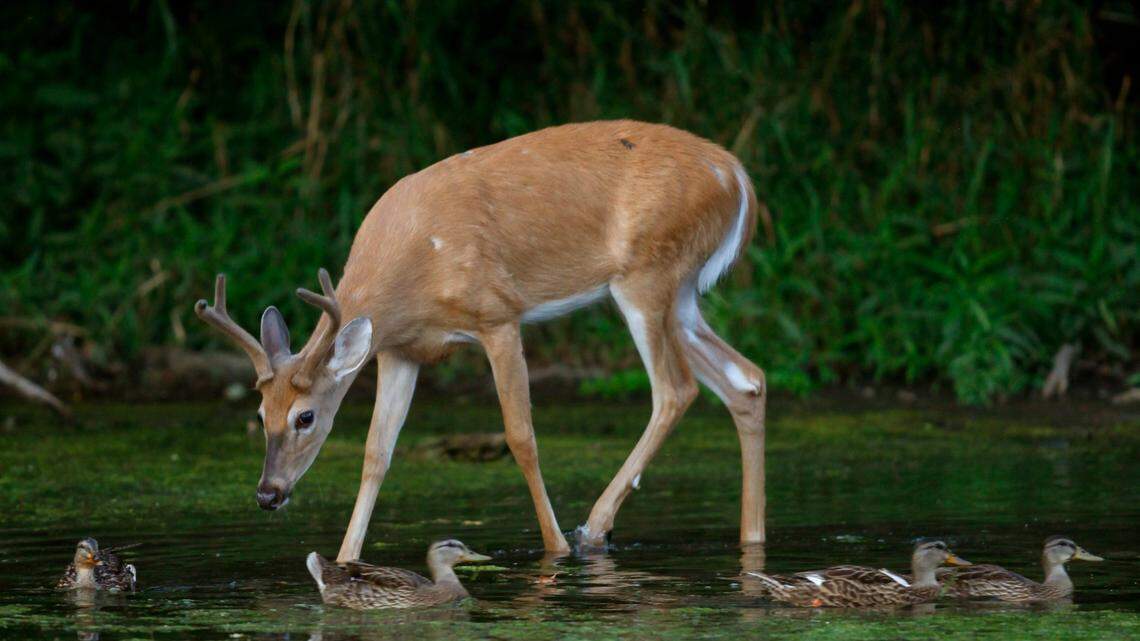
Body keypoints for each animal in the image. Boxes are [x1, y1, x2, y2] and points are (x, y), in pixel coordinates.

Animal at [195, 120, 766, 560]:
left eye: (306, 417)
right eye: (260, 414)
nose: (268, 494)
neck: (412, 273)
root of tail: (738, 177)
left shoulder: (498, 316)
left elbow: (520, 436)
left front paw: (556, 547)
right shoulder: (402, 350)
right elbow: (377, 453)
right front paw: (344, 560)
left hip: (647, 276)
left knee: (676, 389)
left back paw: (593, 529)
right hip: (682, 294)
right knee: (747, 379)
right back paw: (751, 537)